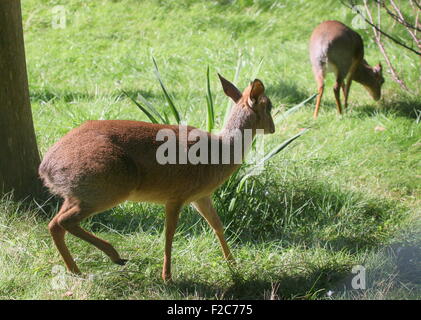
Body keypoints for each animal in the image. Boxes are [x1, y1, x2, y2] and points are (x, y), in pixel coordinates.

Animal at [40, 74, 276, 280]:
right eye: (269, 105)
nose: (273, 128)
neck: (220, 152)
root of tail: (45, 167)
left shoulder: (200, 196)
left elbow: (216, 225)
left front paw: (234, 266)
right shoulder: (176, 196)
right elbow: (169, 233)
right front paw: (167, 277)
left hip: (77, 194)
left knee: (54, 224)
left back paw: (76, 271)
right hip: (107, 189)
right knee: (63, 221)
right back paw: (114, 256)